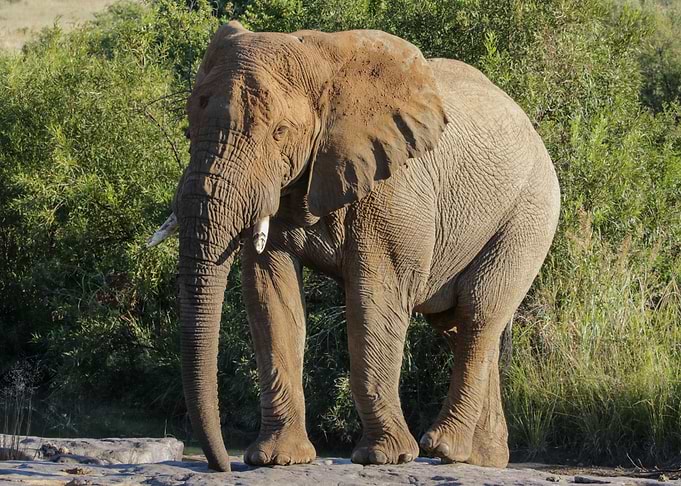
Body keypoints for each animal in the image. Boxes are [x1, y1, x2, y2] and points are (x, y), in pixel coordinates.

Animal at [148, 20, 560, 472]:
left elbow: (375, 299)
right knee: (456, 324)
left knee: (479, 312)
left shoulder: (395, 187)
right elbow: (271, 295)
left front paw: (384, 457)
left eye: (280, 132)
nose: (221, 464)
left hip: (529, 212)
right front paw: (277, 460)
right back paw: (481, 459)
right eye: (189, 130)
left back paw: (444, 448)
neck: (320, 60)